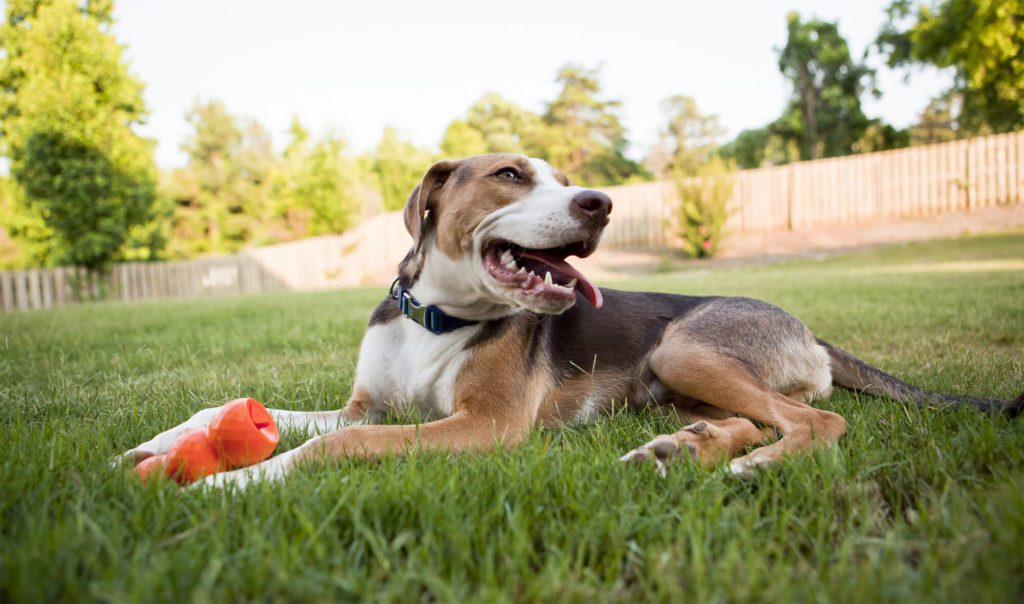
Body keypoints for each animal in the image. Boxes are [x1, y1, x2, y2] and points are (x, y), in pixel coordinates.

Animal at [121, 154, 1024, 487]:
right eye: (511, 175)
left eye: (564, 179)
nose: (602, 203)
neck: (436, 320)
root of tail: (807, 326)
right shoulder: (367, 407)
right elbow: (246, 409)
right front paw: (165, 443)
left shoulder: (480, 427)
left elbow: (327, 448)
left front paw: (232, 481)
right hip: (677, 380)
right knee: (753, 417)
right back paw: (683, 449)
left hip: (686, 344)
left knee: (816, 420)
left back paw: (752, 466)